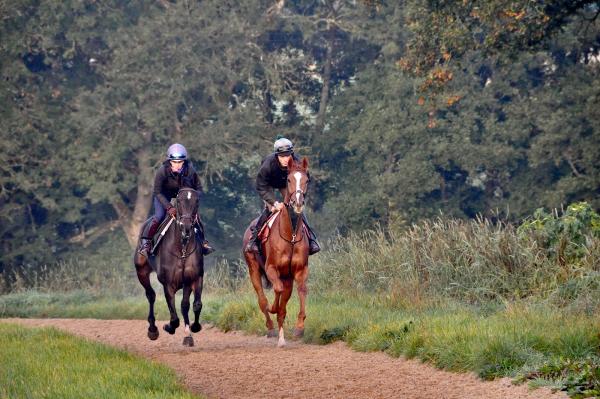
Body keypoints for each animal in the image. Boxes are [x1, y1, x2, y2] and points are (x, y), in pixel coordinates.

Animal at [133, 188, 204, 346]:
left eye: (197, 201)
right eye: (179, 201)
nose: (186, 227)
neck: (181, 248)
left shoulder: (193, 278)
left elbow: (193, 305)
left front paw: (193, 329)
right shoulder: (168, 283)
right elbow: (174, 317)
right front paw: (169, 327)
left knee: (184, 306)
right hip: (141, 271)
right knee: (150, 295)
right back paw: (152, 330)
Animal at [243, 156, 310, 346]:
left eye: (306, 180)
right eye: (289, 180)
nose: (298, 203)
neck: (291, 235)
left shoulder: (300, 270)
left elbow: (301, 290)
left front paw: (299, 327)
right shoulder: (271, 268)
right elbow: (276, 291)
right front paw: (273, 308)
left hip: (287, 277)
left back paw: (281, 336)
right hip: (254, 270)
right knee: (261, 298)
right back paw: (272, 328)